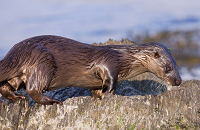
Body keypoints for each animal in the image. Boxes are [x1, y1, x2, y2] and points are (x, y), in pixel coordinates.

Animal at [0, 35, 181, 105]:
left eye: (177, 66)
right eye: (168, 68)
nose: (178, 80)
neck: (124, 58)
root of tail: (16, 52)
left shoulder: (96, 81)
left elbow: (96, 90)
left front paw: (98, 97)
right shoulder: (108, 63)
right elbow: (111, 81)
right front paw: (109, 93)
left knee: (7, 86)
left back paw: (16, 98)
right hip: (43, 63)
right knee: (33, 89)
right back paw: (53, 101)